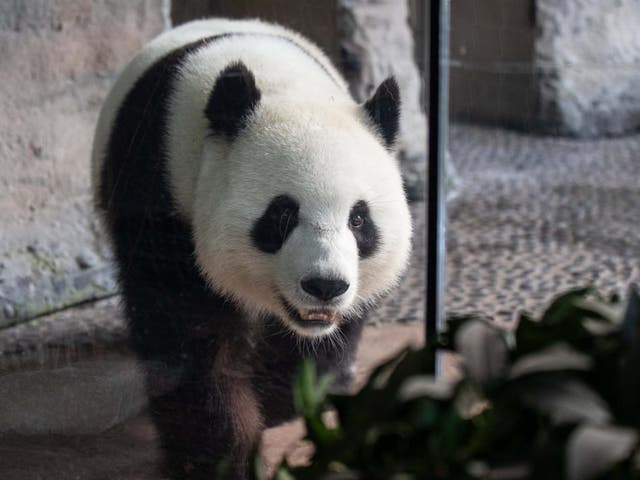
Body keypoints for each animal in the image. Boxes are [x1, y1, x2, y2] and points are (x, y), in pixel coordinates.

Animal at [92, 17, 412, 480]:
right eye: (282, 216)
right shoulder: (160, 189)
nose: (325, 286)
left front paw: (281, 398)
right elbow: (189, 334)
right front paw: (220, 455)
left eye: (358, 220)